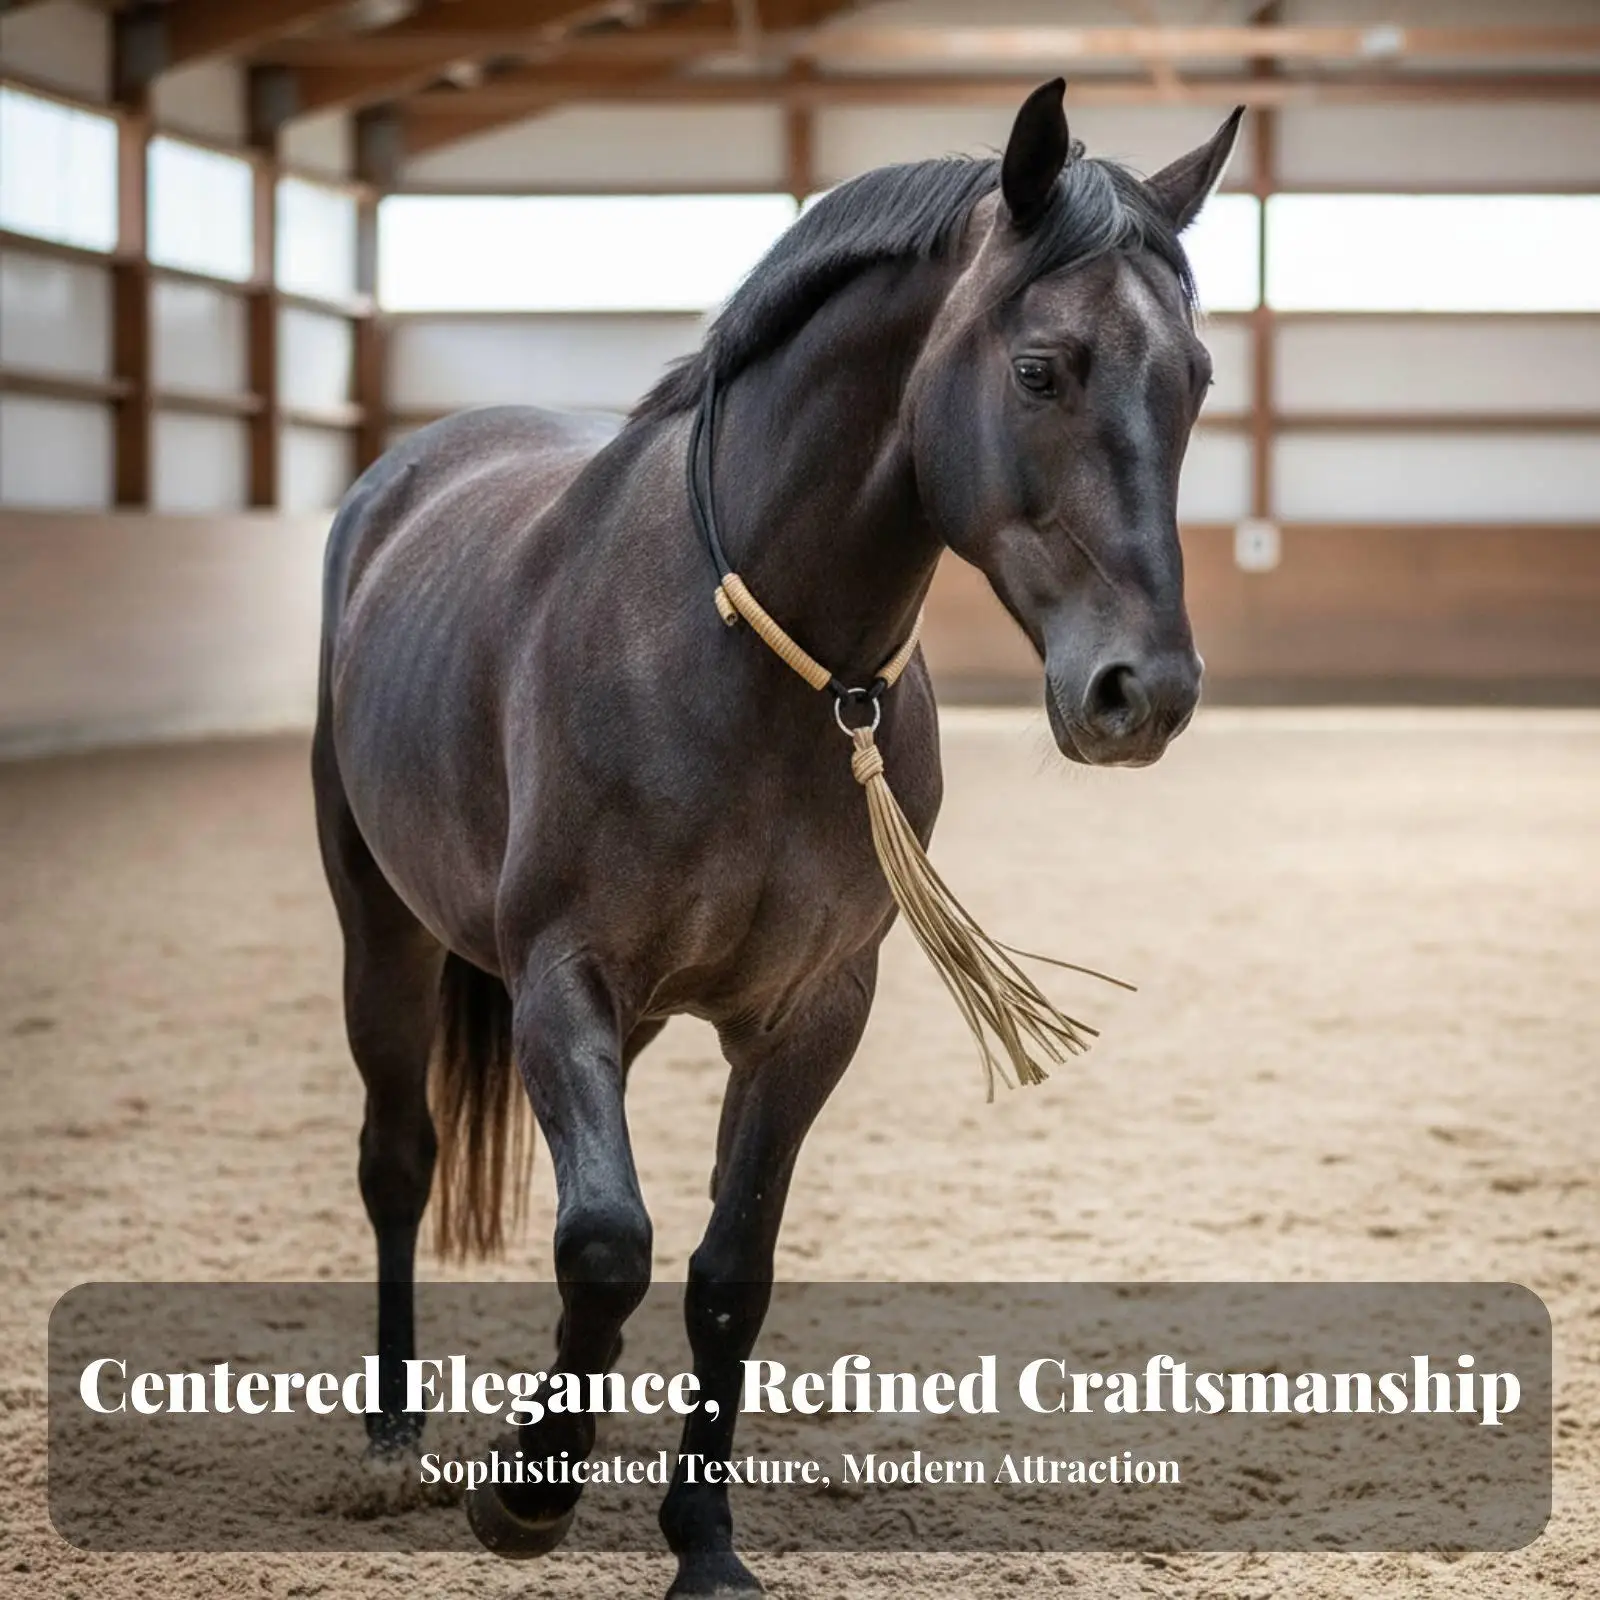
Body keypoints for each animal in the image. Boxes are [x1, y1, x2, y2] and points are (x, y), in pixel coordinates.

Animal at [312, 79, 1241, 1596]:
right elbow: (608, 1244)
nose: (1141, 692)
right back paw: (393, 1440)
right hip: (380, 934)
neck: (734, 656)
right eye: (1042, 369)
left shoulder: (810, 1012)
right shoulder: (564, 979)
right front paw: (528, 1493)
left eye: (1198, 380)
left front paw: (701, 1542)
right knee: (400, 1158)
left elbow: (721, 1275)